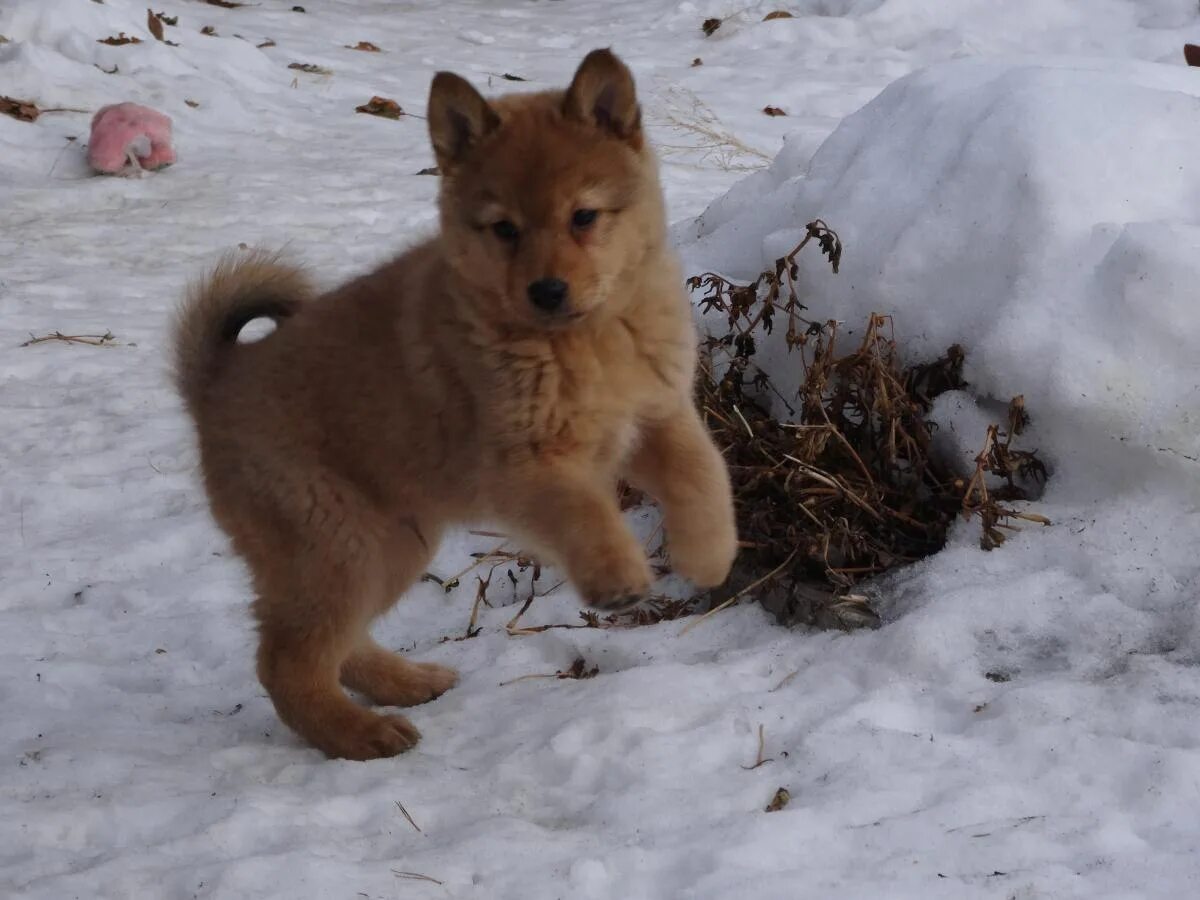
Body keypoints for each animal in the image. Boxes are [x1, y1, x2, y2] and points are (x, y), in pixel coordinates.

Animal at [175, 45, 739, 758]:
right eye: (504, 229)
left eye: (583, 216)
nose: (547, 291)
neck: (583, 340)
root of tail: (217, 380)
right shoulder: (523, 465)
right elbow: (586, 513)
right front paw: (615, 578)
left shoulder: (658, 416)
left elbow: (703, 476)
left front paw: (709, 554)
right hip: (337, 545)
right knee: (286, 664)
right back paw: (362, 734)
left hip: (386, 546)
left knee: (334, 646)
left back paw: (405, 685)